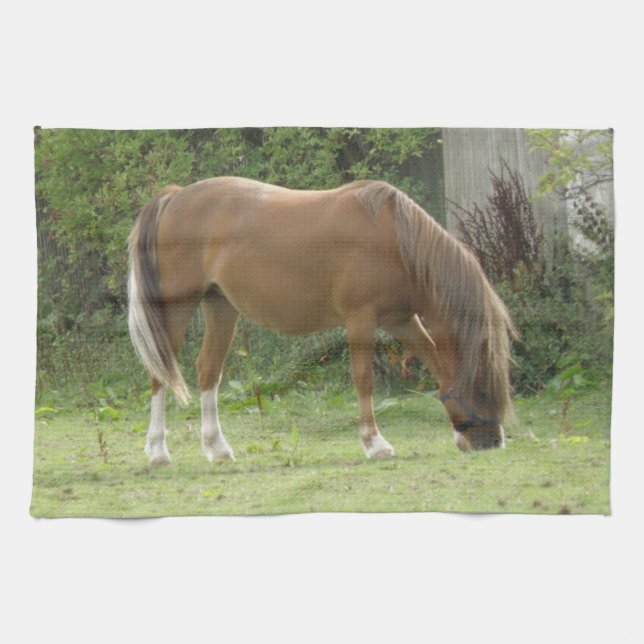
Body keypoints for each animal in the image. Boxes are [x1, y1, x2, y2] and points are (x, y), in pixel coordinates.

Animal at [128, 177, 515, 465]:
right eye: (485, 384)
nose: (492, 441)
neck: (396, 241)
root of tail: (175, 197)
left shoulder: (403, 320)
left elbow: (436, 364)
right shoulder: (360, 319)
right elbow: (364, 379)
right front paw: (375, 443)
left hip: (220, 306)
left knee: (208, 369)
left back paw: (217, 448)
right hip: (177, 306)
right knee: (161, 372)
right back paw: (158, 451)